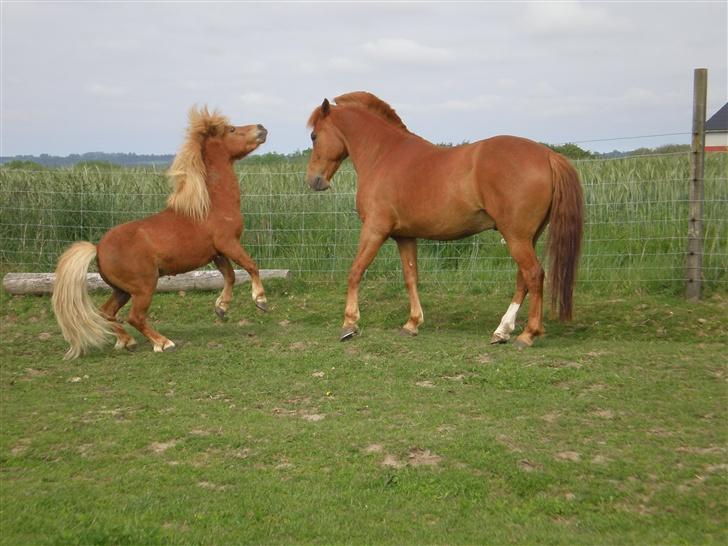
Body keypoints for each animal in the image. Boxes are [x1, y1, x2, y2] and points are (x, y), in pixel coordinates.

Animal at [52, 106, 268, 356]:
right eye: (232, 129)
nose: (262, 128)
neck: (211, 204)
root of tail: (97, 248)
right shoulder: (228, 243)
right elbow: (251, 266)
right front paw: (260, 300)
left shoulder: (216, 253)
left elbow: (230, 276)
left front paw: (221, 308)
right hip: (144, 287)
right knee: (134, 317)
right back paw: (163, 343)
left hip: (123, 290)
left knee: (107, 312)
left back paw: (127, 341)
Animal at [308, 89, 584, 344]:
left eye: (314, 135)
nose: (314, 180)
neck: (384, 155)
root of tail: (548, 155)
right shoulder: (405, 236)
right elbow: (411, 277)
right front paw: (412, 323)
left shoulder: (375, 230)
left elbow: (355, 271)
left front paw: (349, 324)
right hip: (527, 237)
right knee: (523, 279)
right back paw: (502, 330)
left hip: (516, 237)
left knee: (534, 275)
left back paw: (527, 334)